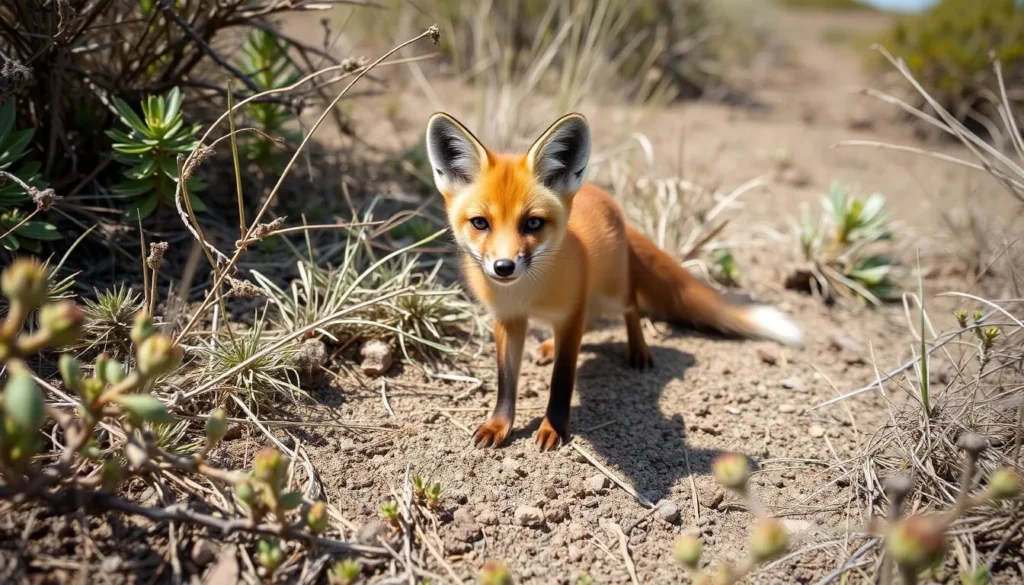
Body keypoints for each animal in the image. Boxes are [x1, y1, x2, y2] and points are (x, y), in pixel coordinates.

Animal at [425, 112, 804, 452]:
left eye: (532, 223)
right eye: (480, 223)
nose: (503, 267)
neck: (525, 295)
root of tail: (604, 196)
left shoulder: (570, 314)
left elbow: (562, 380)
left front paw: (554, 428)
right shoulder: (508, 320)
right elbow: (506, 381)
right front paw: (499, 425)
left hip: (613, 292)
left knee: (631, 308)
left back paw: (638, 351)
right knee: (592, 321)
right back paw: (547, 347)